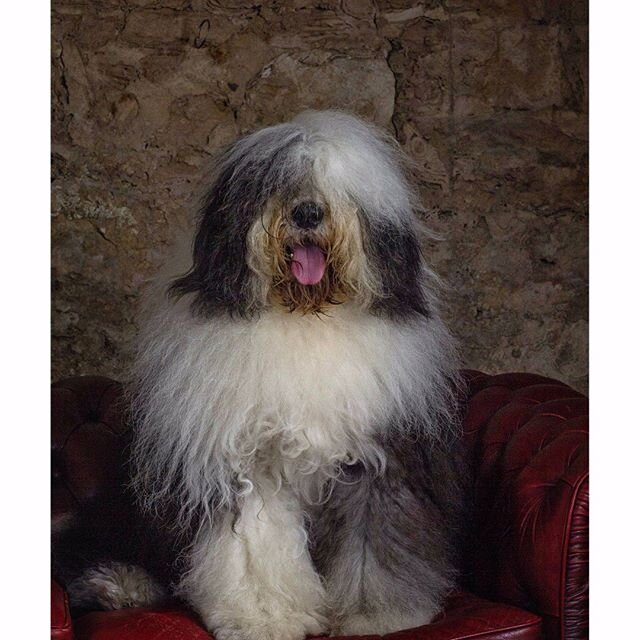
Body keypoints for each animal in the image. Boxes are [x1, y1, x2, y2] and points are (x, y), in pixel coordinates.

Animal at [53, 111, 464, 640]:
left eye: (339, 186)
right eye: (275, 182)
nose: (307, 213)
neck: (306, 317)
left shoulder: (377, 458)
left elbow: (373, 546)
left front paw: (377, 614)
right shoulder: (243, 459)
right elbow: (254, 547)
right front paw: (266, 617)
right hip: (125, 502)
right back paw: (119, 584)